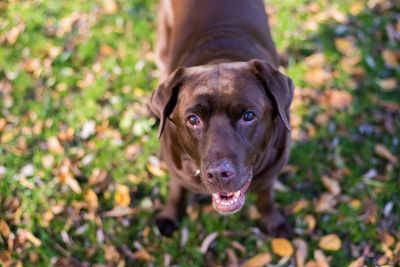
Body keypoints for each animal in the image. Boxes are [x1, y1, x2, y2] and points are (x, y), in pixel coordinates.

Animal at [150, 0, 294, 239]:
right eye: (193, 119)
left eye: (248, 116)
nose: (218, 174)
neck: (220, 57)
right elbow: (176, 189)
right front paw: (170, 215)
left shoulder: (272, 169)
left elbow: (266, 195)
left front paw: (273, 220)